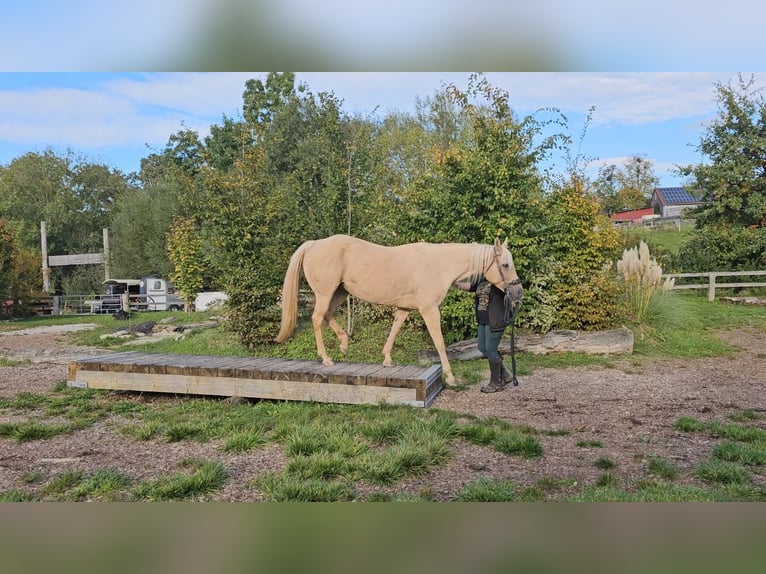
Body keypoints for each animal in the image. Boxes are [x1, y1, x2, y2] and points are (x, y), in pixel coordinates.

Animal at [275, 234, 523, 386]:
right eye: (505, 265)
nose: (518, 292)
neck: (437, 265)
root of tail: (314, 244)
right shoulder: (429, 310)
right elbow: (439, 343)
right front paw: (450, 377)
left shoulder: (404, 308)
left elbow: (394, 330)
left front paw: (387, 359)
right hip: (326, 293)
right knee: (317, 318)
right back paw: (326, 358)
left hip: (339, 293)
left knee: (326, 315)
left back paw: (344, 344)